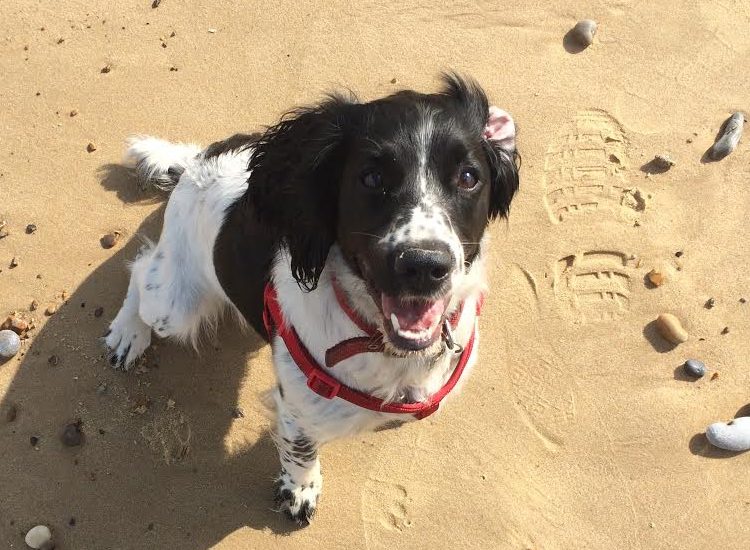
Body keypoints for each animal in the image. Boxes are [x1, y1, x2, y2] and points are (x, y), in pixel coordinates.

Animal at [106, 73, 520, 528]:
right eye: (371, 178)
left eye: (468, 176)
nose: (425, 265)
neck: (378, 342)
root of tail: (203, 157)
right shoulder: (298, 408)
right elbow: (300, 451)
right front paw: (300, 491)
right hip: (174, 305)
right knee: (142, 269)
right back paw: (128, 334)